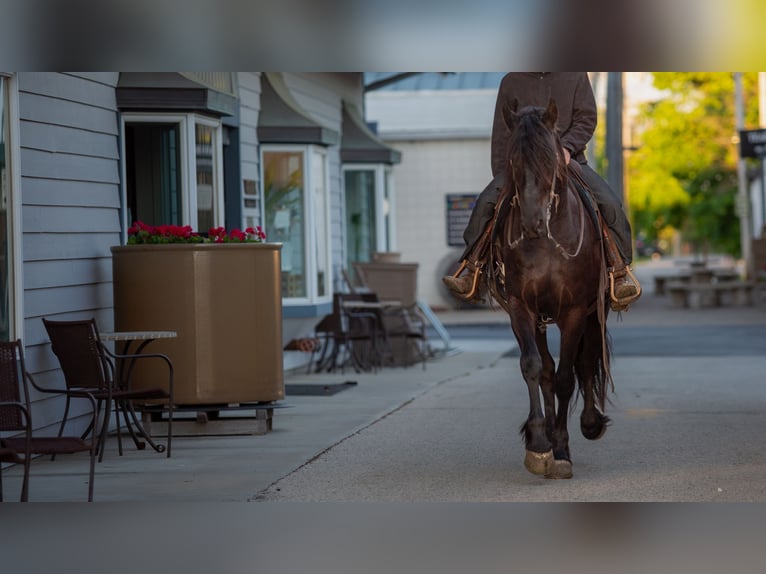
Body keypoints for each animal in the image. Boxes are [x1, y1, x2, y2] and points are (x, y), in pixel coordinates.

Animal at [487, 98, 613, 479]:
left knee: (585, 362)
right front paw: (540, 444)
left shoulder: (575, 312)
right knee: (544, 369)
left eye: (549, 159)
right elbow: (533, 367)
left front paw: (561, 450)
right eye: (513, 160)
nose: (532, 224)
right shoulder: (521, 307)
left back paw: (589, 423)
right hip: (543, 319)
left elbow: (566, 377)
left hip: (593, 314)